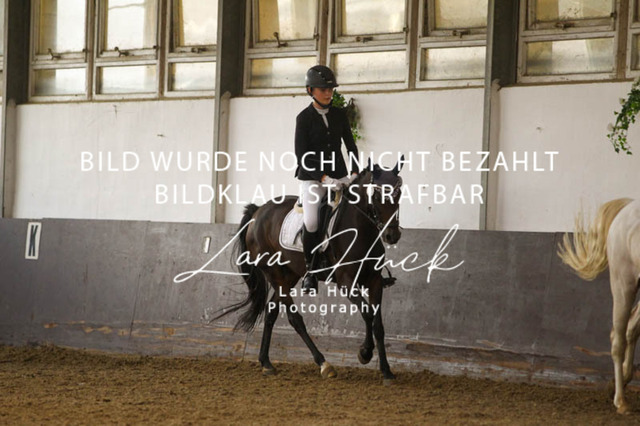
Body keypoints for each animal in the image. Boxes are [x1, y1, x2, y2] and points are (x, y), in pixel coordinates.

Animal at [217, 160, 404, 384]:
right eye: (377, 195)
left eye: (399, 194)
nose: (392, 235)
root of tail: (257, 212)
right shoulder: (347, 283)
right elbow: (367, 313)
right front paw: (364, 353)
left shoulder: (374, 281)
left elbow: (378, 324)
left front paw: (386, 371)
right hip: (274, 273)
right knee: (294, 319)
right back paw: (324, 363)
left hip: (289, 275)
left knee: (271, 311)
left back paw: (266, 363)